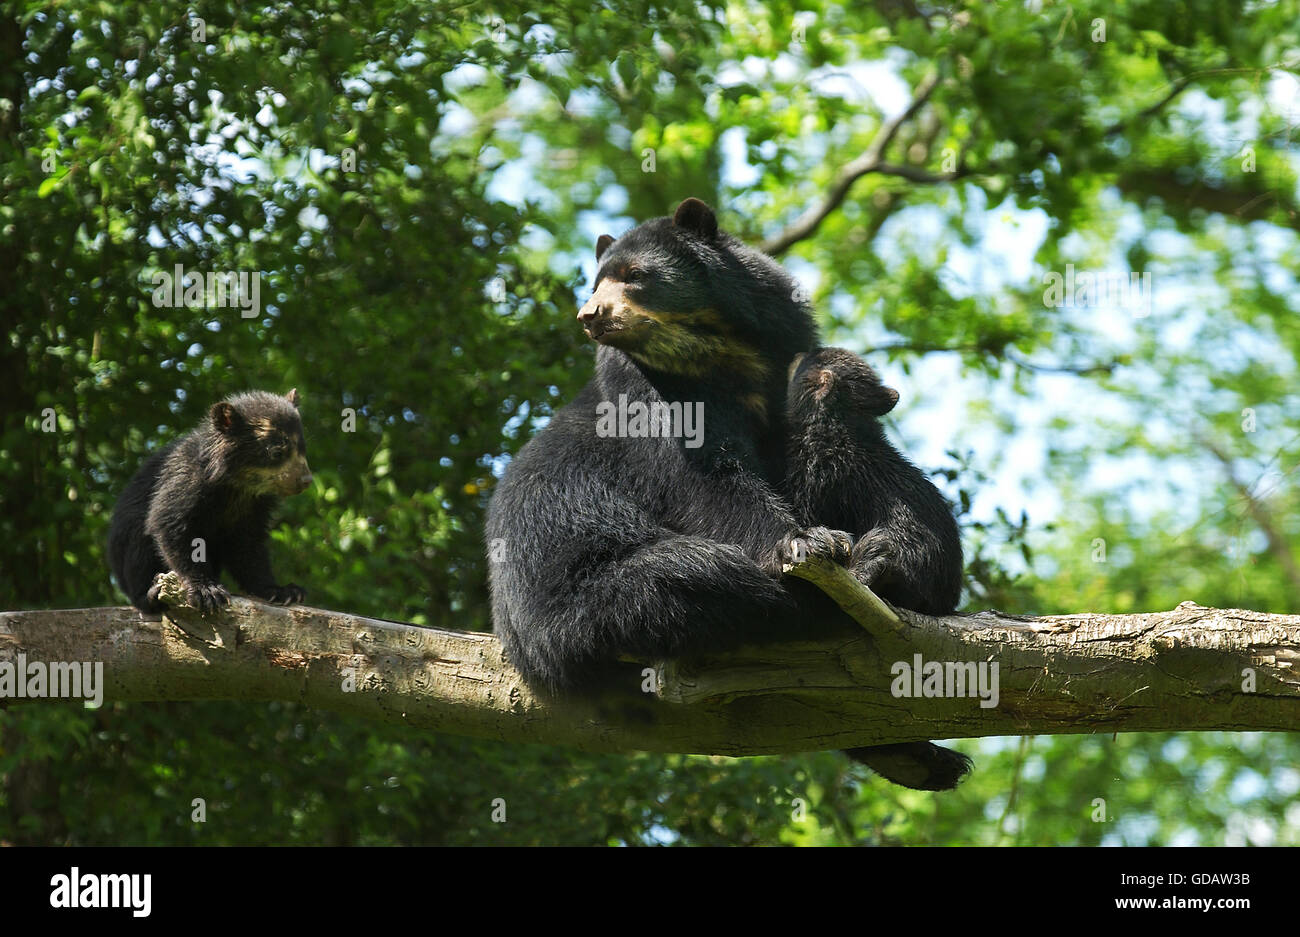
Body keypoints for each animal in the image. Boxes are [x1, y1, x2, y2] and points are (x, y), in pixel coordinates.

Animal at [108, 389, 313, 614]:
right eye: (277, 451)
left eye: (302, 448)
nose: (306, 480)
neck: (237, 485)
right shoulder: (185, 481)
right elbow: (170, 524)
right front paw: (207, 592)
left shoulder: (256, 504)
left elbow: (249, 545)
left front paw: (284, 591)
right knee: (139, 544)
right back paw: (149, 595)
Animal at [485, 198, 964, 790]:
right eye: (596, 282)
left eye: (634, 276)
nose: (589, 315)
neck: (713, 353)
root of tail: (525, 647)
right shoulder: (652, 406)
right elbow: (708, 483)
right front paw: (808, 542)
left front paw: (886, 557)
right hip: (583, 596)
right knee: (692, 578)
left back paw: (924, 755)